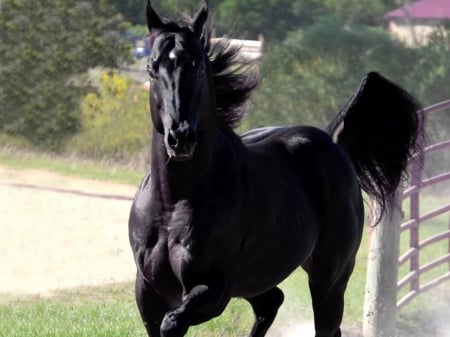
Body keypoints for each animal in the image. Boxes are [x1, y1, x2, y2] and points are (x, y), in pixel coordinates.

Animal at [128, 1, 424, 334]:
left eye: (199, 66)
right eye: (152, 69)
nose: (180, 138)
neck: (174, 204)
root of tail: (331, 139)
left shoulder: (214, 289)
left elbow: (172, 322)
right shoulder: (148, 291)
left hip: (329, 278)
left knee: (322, 323)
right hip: (258, 278)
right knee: (271, 302)